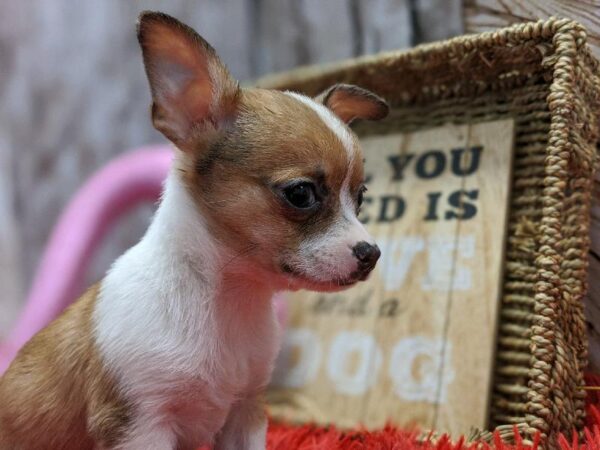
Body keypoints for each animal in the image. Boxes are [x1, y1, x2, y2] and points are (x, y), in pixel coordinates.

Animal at [0, 10, 386, 450]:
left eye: (360, 197)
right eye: (301, 194)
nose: (371, 253)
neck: (226, 302)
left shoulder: (245, 413)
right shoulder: (140, 427)